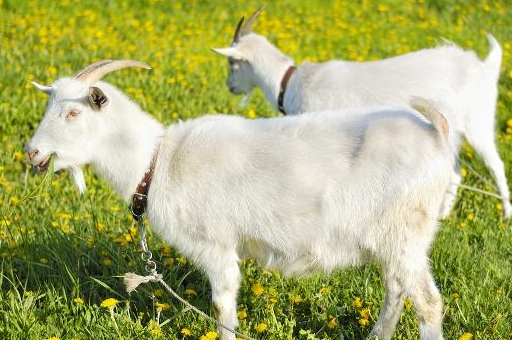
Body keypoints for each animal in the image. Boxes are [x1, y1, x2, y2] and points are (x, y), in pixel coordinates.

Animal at [26, 59, 454, 338]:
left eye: (73, 114)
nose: (31, 152)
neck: (159, 161)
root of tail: (436, 136)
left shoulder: (215, 244)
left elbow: (222, 309)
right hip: (394, 239)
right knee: (396, 290)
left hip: (405, 233)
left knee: (428, 303)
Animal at [210, 9, 510, 220]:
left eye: (232, 62)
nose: (229, 86)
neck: (290, 83)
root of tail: (484, 66)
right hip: (449, 129)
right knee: (456, 170)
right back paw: (441, 214)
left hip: (478, 121)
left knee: (496, 164)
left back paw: (505, 215)